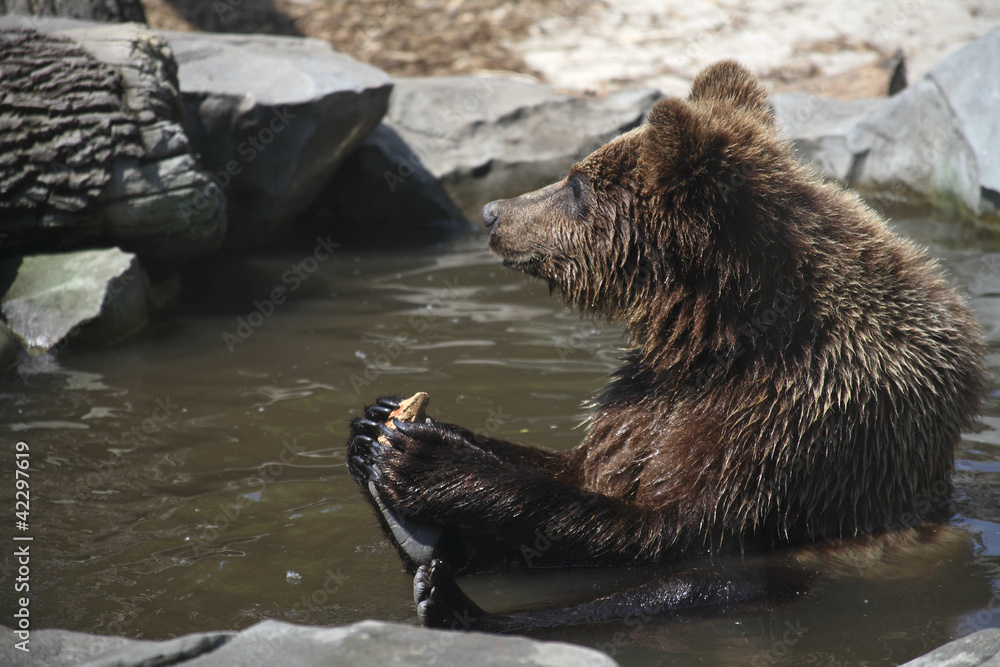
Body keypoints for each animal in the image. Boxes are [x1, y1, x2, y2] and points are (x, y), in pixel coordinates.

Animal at [346, 60, 984, 632]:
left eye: (576, 185)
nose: (491, 213)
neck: (714, 331)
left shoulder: (805, 410)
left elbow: (680, 527)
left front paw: (432, 461)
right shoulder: (645, 395)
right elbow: (588, 464)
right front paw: (380, 424)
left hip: (853, 559)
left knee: (709, 586)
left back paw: (455, 601)